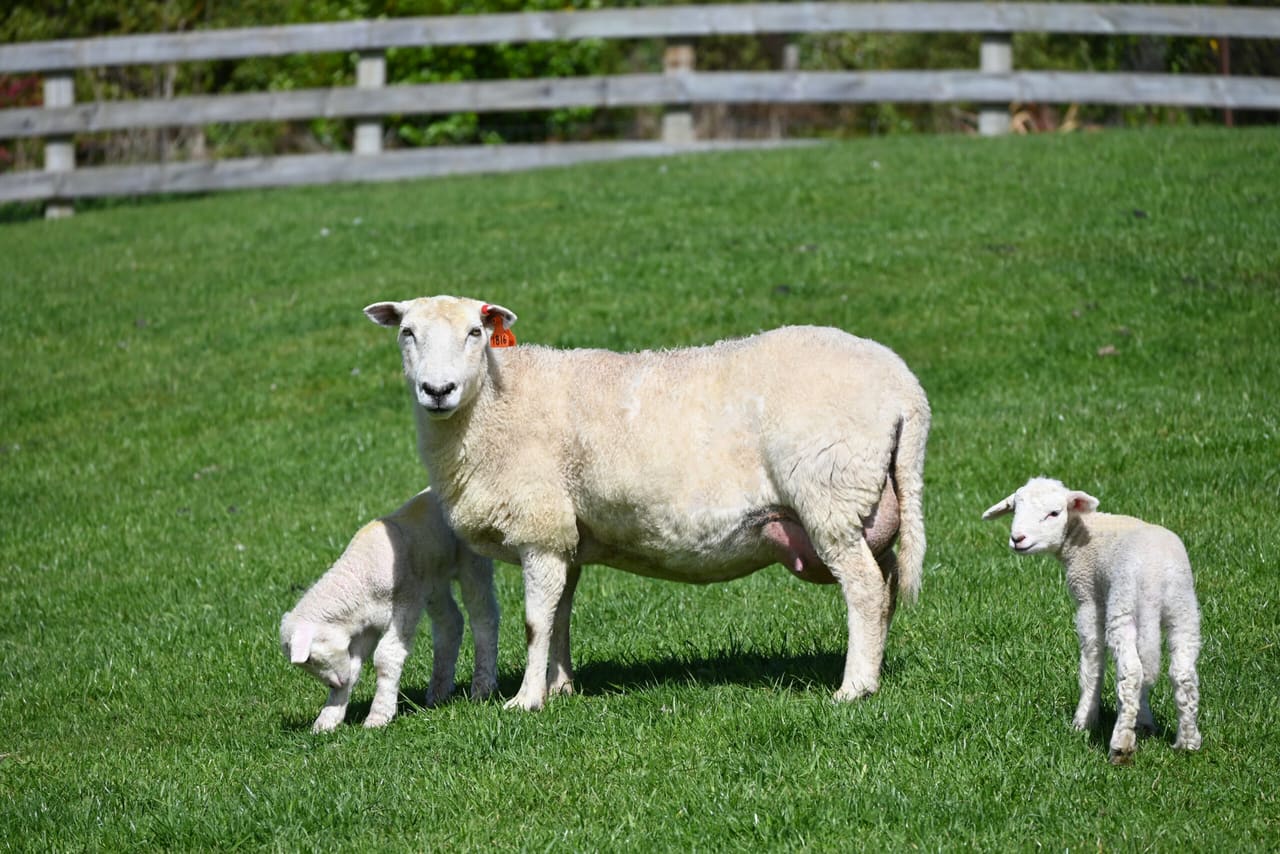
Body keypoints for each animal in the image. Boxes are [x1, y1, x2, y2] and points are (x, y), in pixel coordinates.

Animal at [280, 488, 499, 732]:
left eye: (310, 659)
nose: (334, 683)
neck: (359, 578)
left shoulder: (405, 604)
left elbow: (385, 657)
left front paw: (378, 716)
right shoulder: (366, 627)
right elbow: (353, 667)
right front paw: (328, 719)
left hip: (472, 563)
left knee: (484, 617)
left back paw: (482, 687)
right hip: (433, 581)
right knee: (451, 622)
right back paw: (439, 691)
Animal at [364, 294, 930, 711]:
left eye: (475, 333)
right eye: (407, 333)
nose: (438, 389)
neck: (496, 402)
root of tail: (907, 391)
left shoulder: (540, 528)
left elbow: (535, 621)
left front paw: (526, 701)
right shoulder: (567, 534)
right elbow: (561, 615)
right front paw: (561, 687)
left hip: (829, 493)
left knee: (864, 590)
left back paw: (853, 688)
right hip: (869, 502)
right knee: (885, 588)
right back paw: (873, 670)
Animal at [982, 477, 1202, 763]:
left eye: (1054, 513)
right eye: (1015, 509)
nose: (1018, 539)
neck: (1084, 532)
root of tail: (1155, 578)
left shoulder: (1088, 599)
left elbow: (1091, 661)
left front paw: (1083, 721)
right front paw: (1143, 722)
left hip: (1123, 603)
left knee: (1131, 672)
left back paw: (1121, 746)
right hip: (1183, 608)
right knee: (1182, 673)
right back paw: (1187, 742)